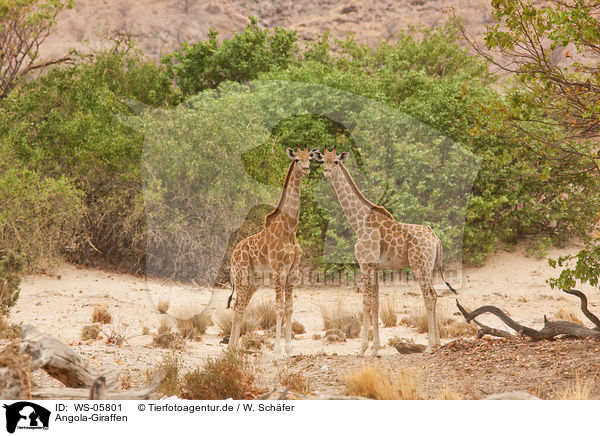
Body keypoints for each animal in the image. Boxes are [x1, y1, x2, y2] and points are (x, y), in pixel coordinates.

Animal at [226, 146, 318, 358]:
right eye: (297, 159)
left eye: (309, 157)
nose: (307, 169)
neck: (290, 229)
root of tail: (233, 256)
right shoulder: (278, 270)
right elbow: (278, 308)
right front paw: (277, 351)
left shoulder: (293, 271)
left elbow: (289, 308)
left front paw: (289, 349)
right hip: (242, 277)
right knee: (238, 307)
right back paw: (232, 350)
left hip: (254, 281)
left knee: (240, 307)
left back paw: (234, 349)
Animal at [314, 149, 454, 354]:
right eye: (323, 161)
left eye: (337, 162)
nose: (327, 172)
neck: (359, 223)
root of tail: (435, 238)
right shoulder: (376, 267)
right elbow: (376, 303)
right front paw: (375, 348)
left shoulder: (365, 264)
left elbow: (365, 302)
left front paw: (362, 349)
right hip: (428, 267)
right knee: (434, 295)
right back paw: (437, 343)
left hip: (419, 265)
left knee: (428, 296)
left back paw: (429, 346)